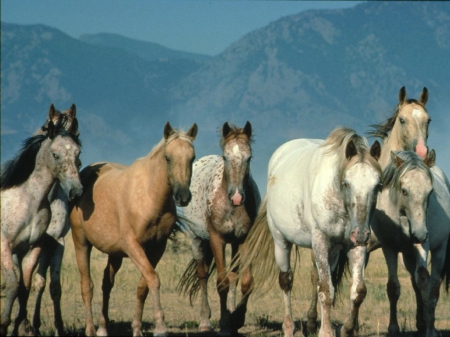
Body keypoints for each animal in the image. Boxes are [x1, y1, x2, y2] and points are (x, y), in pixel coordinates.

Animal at [0, 118, 82, 334]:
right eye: (56, 155)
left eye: (78, 154)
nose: (76, 191)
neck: (29, 200)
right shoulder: (4, 246)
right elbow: (12, 285)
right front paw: (4, 324)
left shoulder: (32, 247)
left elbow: (24, 288)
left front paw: (19, 325)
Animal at [69, 121, 196, 336]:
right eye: (168, 158)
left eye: (192, 158)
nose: (183, 196)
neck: (149, 196)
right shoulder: (133, 246)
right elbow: (153, 279)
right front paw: (160, 327)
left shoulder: (157, 248)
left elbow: (143, 286)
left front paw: (137, 329)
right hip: (81, 243)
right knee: (87, 286)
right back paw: (91, 330)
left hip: (114, 253)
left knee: (106, 284)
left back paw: (103, 328)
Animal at [176, 121, 260, 334]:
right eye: (226, 157)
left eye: (249, 157)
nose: (237, 197)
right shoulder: (217, 240)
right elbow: (221, 283)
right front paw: (223, 324)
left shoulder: (245, 239)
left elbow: (246, 282)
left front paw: (236, 319)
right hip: (197, 240)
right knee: (203, 275)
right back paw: (205, 322)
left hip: (235, 244)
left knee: (234, 276)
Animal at [237, 126, 382, 336]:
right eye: (346, 183)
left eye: (378, 185)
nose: (362, 234)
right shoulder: (320, 240)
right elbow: (326, 290)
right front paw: (326, 332)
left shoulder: (354, 245)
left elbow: (358, 291)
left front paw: (345, 329)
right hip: (281, 241)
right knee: (286, 280)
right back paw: (288, 327)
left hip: (333, 251)